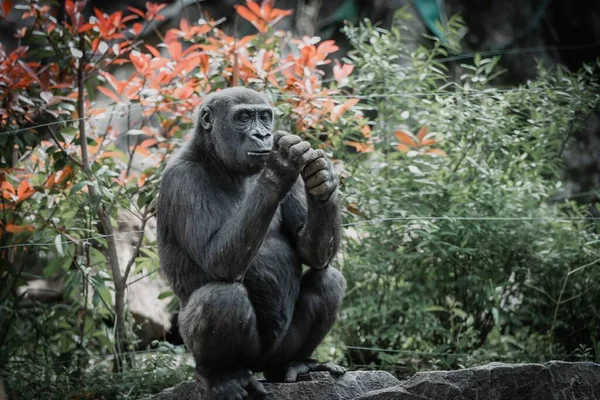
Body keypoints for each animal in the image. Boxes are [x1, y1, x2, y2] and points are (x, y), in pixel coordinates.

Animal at [157, 86, 346, 396]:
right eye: (244, 118)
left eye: (265, 117)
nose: (263, 134)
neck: (217, 160)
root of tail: (261, 367)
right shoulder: (182, 180)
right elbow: (217, 260)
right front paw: (280, 166)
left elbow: (312, 253)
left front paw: (323, 177)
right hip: (241, 357)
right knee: (221, 299)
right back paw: (221, 375)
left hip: (279, 350)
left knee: (329, 280)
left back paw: (295, 364)